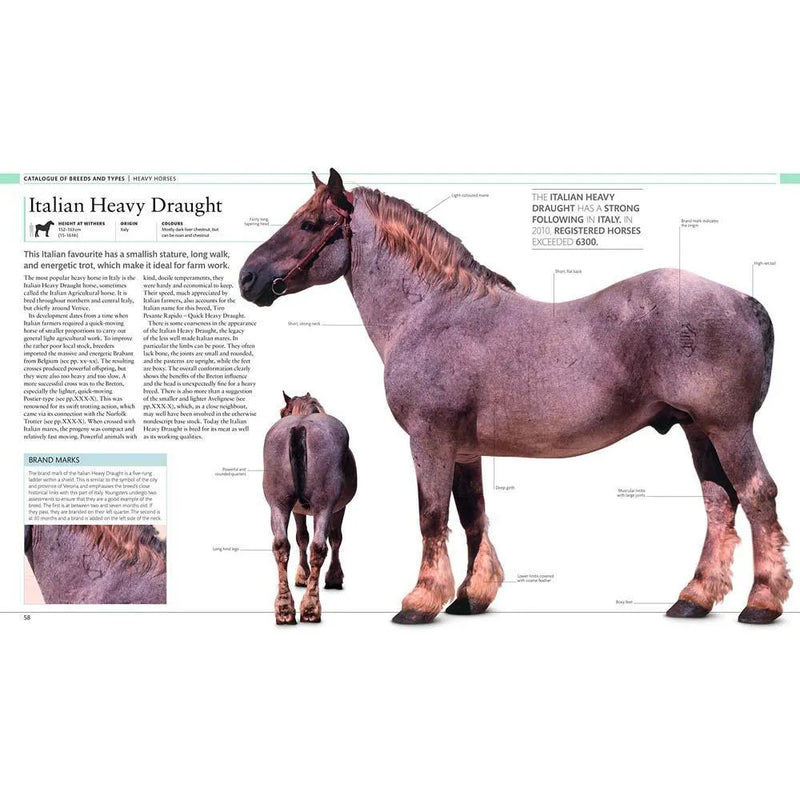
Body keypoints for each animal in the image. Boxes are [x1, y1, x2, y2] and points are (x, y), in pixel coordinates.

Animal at [262, 392, 357, 624]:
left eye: (282, 411)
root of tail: (300, 427)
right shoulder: (337, 508)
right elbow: (333, 538)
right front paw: (332, 577)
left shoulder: (296, 509)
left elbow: (301, 538)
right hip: (324, 506)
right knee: (319, 547)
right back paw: (311, 607)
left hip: (278, 504)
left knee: (280, 545)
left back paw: (284, 609)